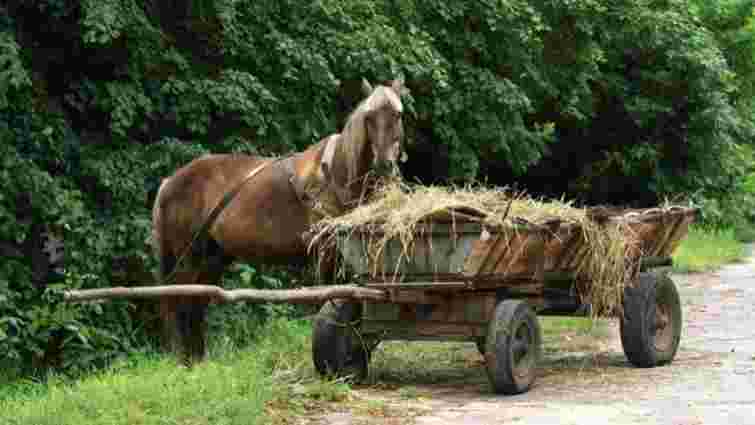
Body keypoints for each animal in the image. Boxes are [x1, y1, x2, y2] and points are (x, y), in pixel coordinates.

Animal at [152, 77, 408, 362]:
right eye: (369, 116)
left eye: (398, 114)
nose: (384, 164)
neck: (336, 174)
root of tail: (170, 181)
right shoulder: (325, 251)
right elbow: (330, 296)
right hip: (188, 257)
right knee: (179, 302)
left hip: (212, 258)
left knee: (196, 304)